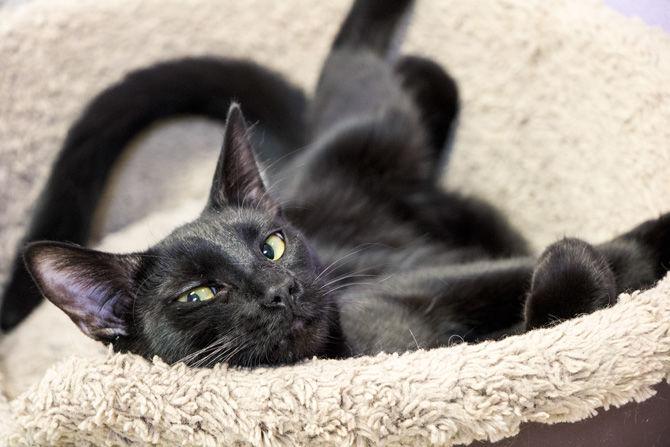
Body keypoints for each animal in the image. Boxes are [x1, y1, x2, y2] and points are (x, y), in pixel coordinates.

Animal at [1, 0, 670, 368]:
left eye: (271, 246)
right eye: (198, 294)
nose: (280, 289)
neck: (351, 353)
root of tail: (303, 153)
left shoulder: (439, 280)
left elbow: (551, 267)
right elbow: (557, 303)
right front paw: (584, 276)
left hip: (375, 124)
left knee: (374, 62)